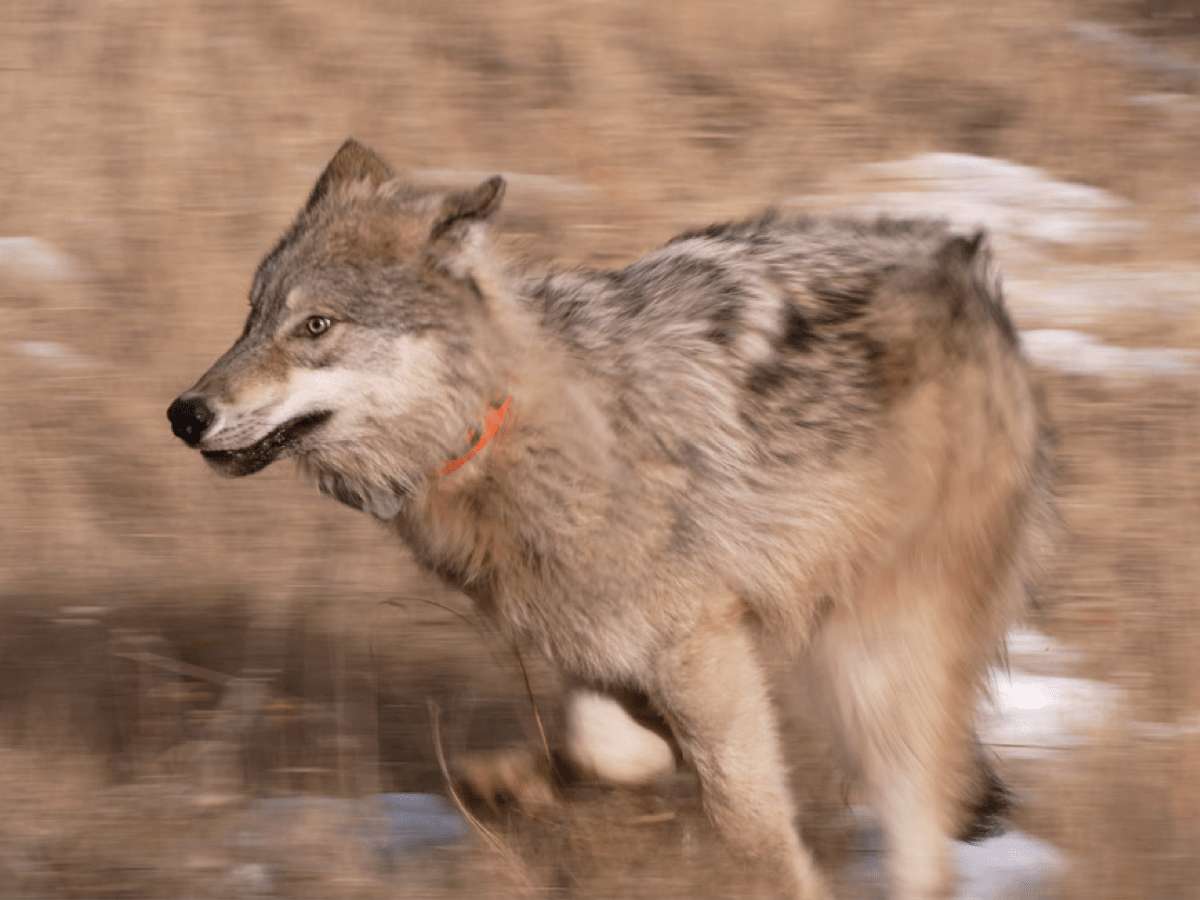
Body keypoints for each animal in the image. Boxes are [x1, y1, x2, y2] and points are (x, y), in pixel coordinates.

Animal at [168, 139, 1053, 899]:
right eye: (250, 317)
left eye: (316, 326)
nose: (184, 413)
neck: (504, 433)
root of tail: (970, 268)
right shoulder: (597, 642)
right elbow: (611, 749)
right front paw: (522, 781)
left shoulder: (700, 645)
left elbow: (751, 829)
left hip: (876, 659)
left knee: (920, 837)